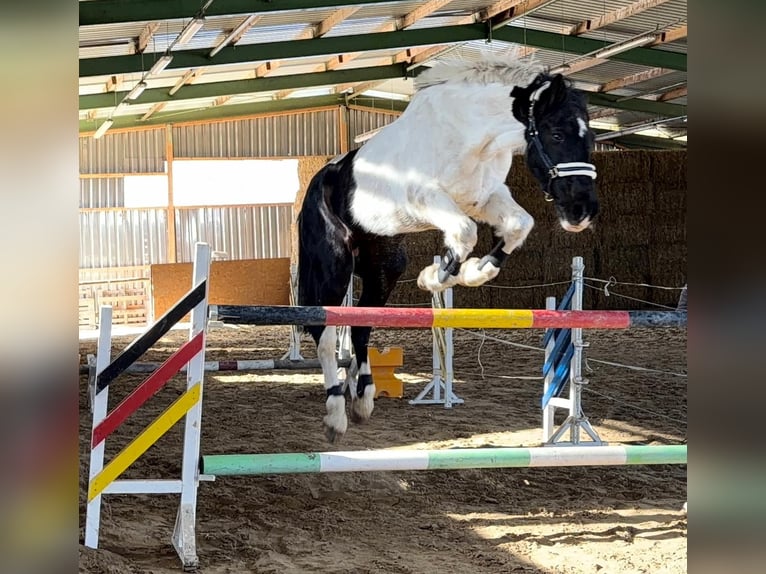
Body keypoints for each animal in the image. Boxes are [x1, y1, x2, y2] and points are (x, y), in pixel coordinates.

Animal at [297, 54, 599, 443]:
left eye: (591, 137)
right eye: (557, 134)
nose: (581, 212)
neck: (473, 135)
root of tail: (318, 180)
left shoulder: (484, 197)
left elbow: (518, 224)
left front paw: (474, 271)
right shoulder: (426, 198)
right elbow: (465, 231)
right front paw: (436, 276)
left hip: (384, 264)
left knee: (361, 326)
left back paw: (363, 399)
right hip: (334, 266)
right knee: (325, 333)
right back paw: (336, 415)